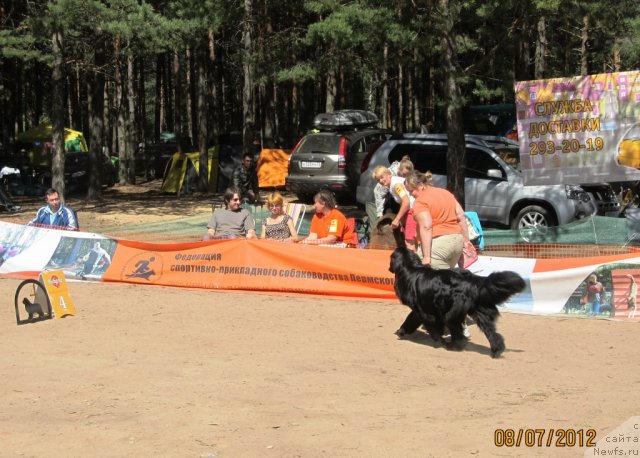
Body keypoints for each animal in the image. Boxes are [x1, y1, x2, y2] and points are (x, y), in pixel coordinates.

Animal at [390, 247, 524, 358]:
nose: (389, 268)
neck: (410, 267)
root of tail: (470, 281)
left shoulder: (423, 311)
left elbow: (426, 326)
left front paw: (439, 342)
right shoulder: (426, 310)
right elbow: (412, 320)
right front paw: (402, 331)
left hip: (451, 314)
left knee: (458, 332)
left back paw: (454, 346)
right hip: (478, 312)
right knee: (491, 332)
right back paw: (496, 351)